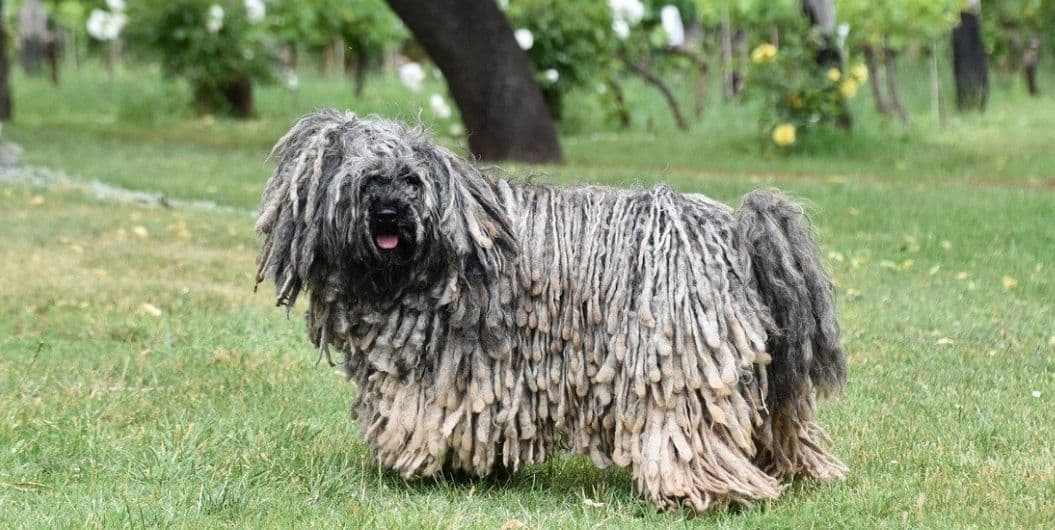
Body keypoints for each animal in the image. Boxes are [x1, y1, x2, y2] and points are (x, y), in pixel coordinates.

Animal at [257, 110, 848, 513]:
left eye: (411, 181)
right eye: (367, 180)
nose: (389, 214)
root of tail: (733, 230)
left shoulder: (450, 366)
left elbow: (432, 416)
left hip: (682, 356)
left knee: (686, 425)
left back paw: (702, 491)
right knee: (776, 419)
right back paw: (795, 471)